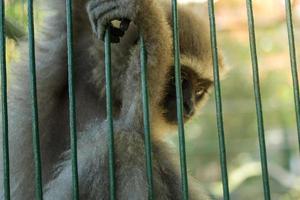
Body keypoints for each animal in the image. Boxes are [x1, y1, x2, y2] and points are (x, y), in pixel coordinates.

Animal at [0, 0, 225, 198]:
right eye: (177, 79)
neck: (101, 88)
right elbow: (132, 122)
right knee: (121, 140)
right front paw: (149, 20)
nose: (189, 107)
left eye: (199, 90)